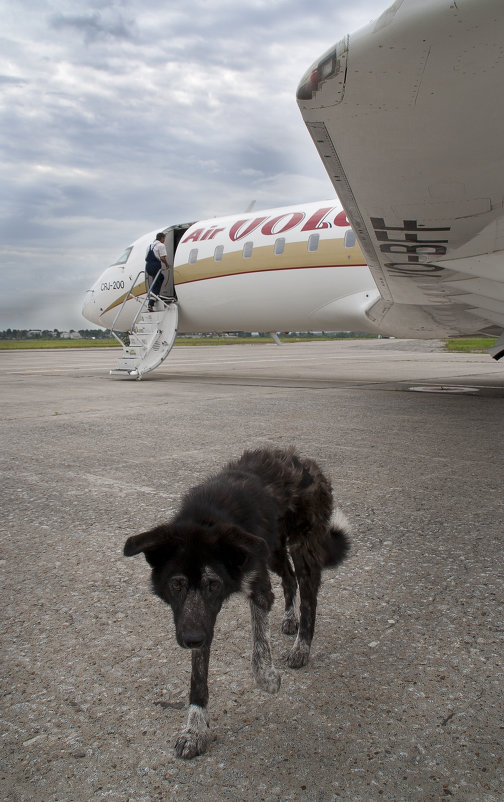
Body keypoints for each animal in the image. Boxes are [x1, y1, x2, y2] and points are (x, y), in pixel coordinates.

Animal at [124, 446, 348, 760]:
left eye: (214, 584)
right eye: (176, 585)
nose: (192, 639)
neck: (206, 520)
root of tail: (304, 461)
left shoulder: (256, 586)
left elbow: (259, 644)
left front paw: (267, 678)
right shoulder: (196, 620)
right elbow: (198, 676)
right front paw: (195, 728)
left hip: (302, 548)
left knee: (309, 597)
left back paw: (301, 646)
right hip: (273, 550)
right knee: (289, 579)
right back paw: (289, 619)